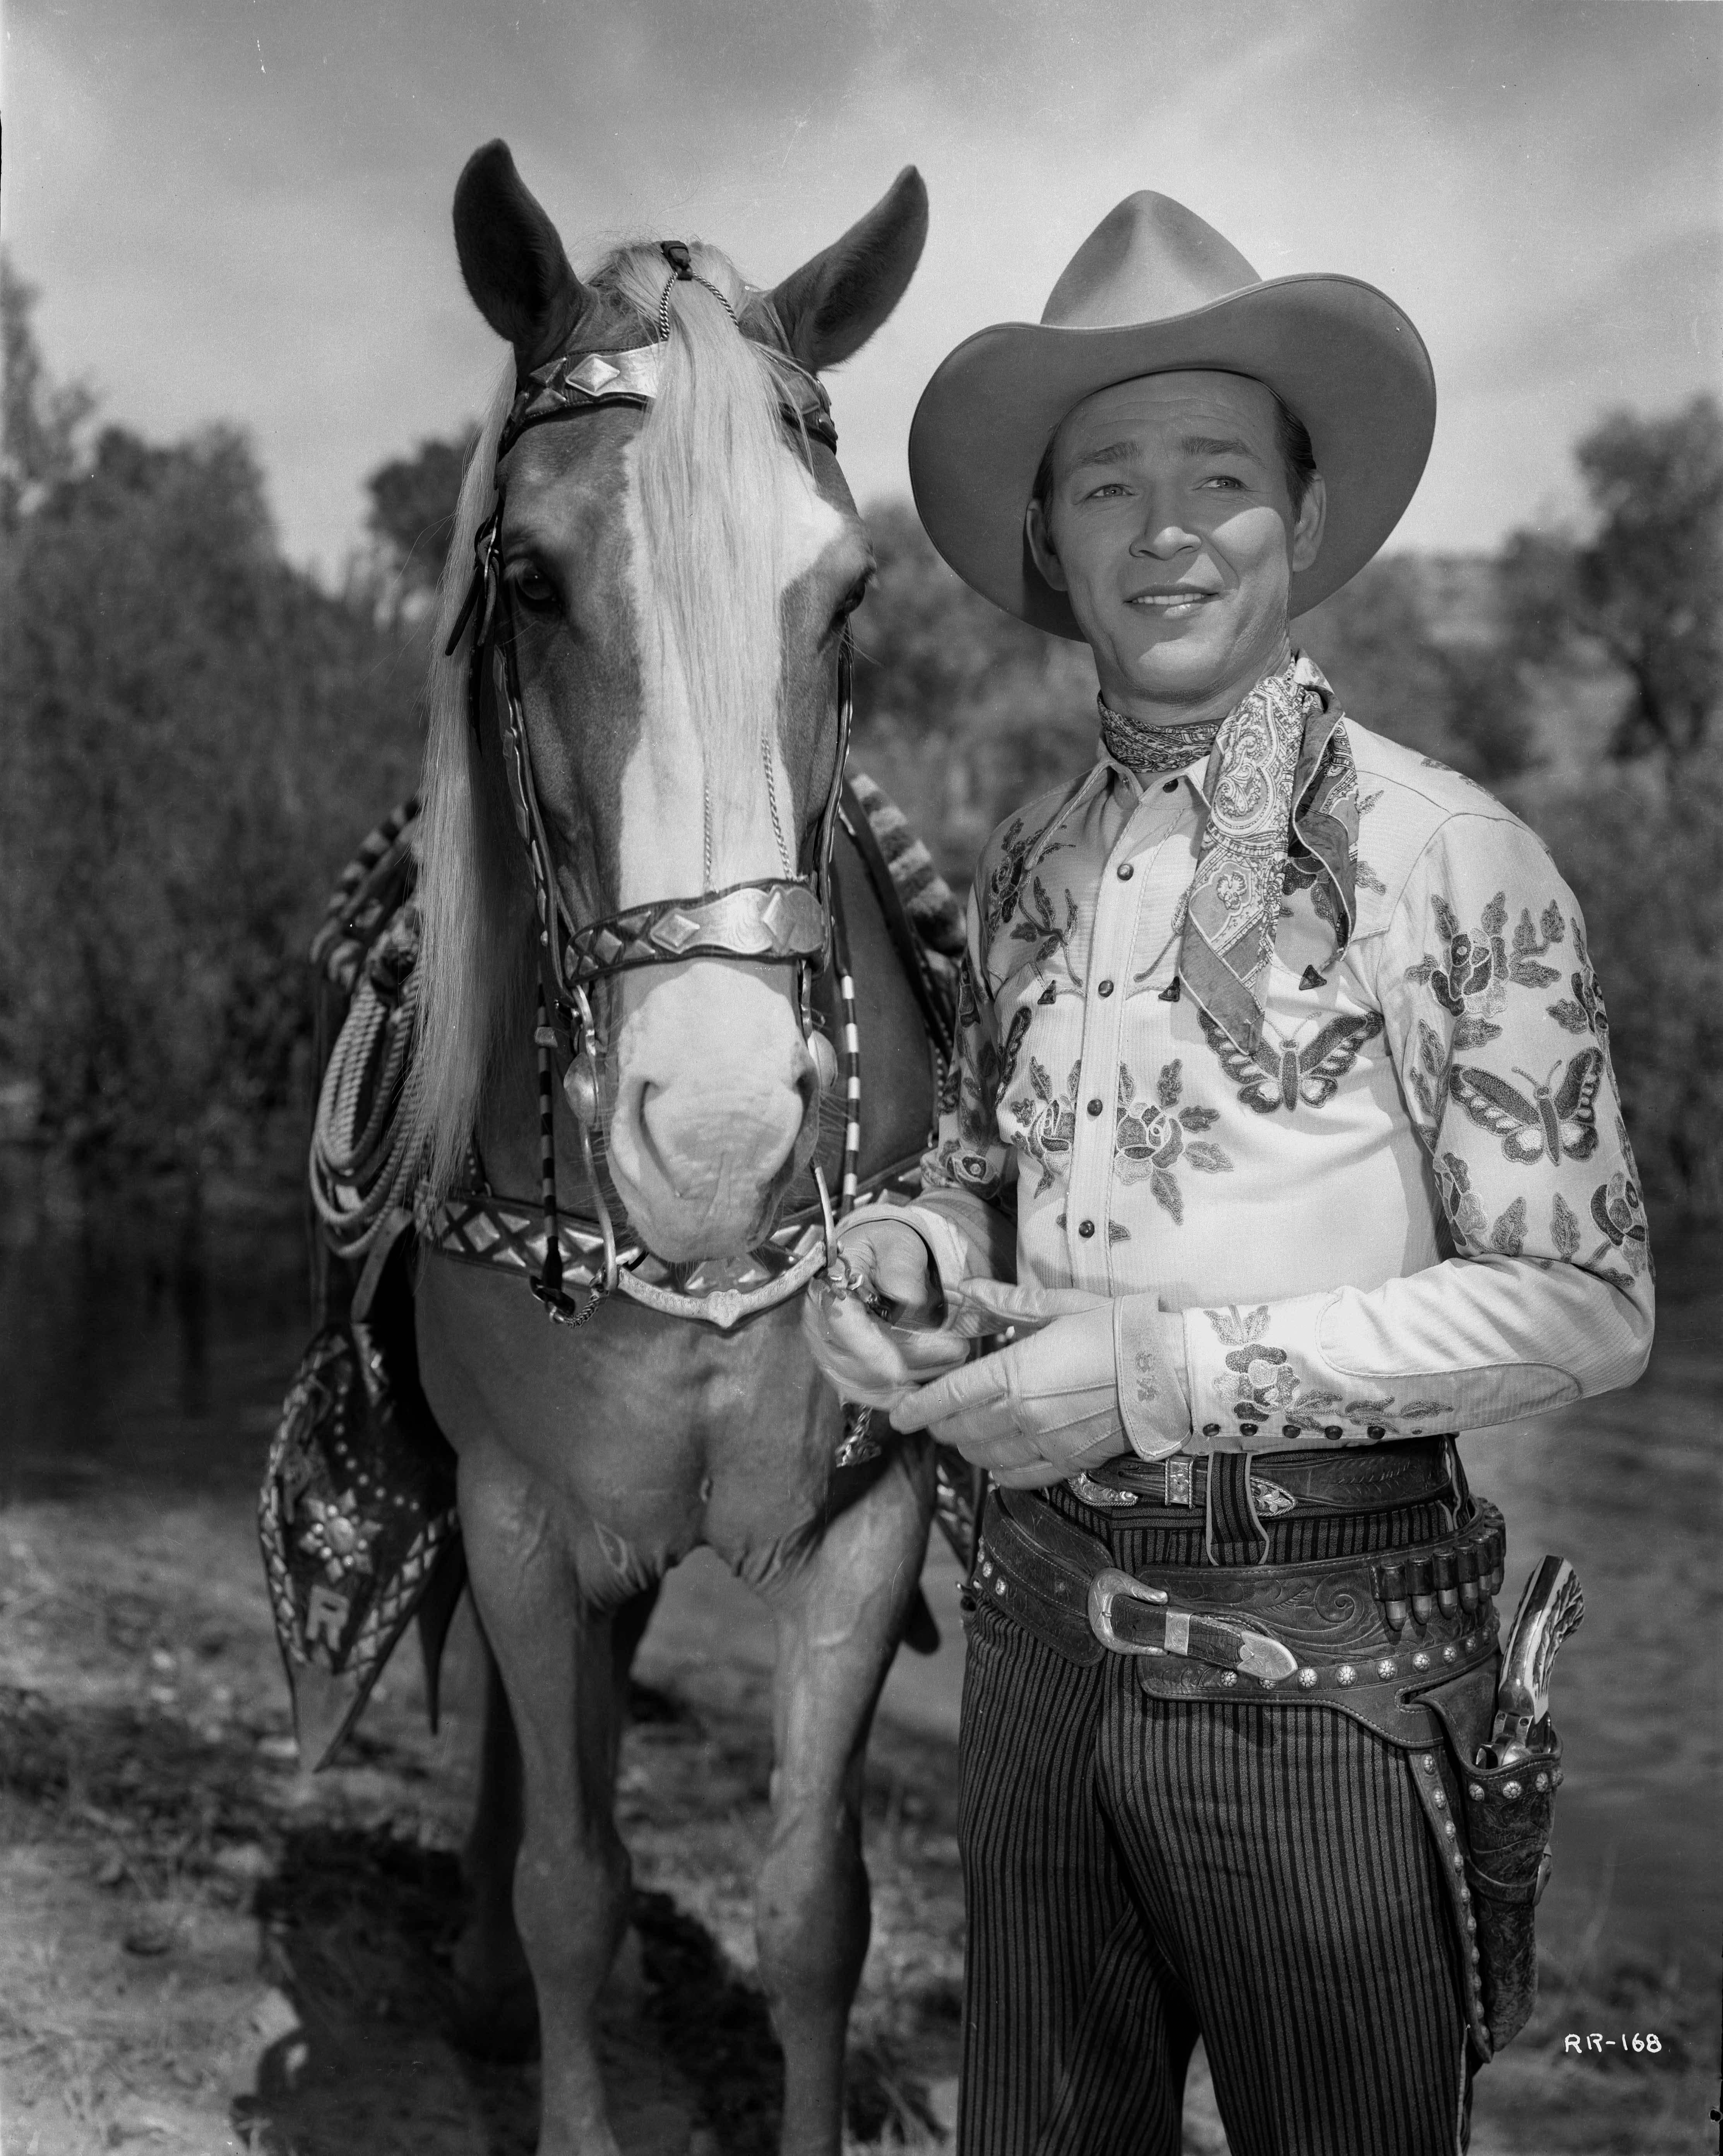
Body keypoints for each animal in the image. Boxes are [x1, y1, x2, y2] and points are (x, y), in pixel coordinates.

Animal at [405, 143, 944, 2147]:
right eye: (527, 576)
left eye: (850, 594)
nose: (712, 1134)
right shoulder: (518, 1512)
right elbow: (570, 1879)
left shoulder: (869, 1525)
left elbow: (813, 1911)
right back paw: (483, 1974)